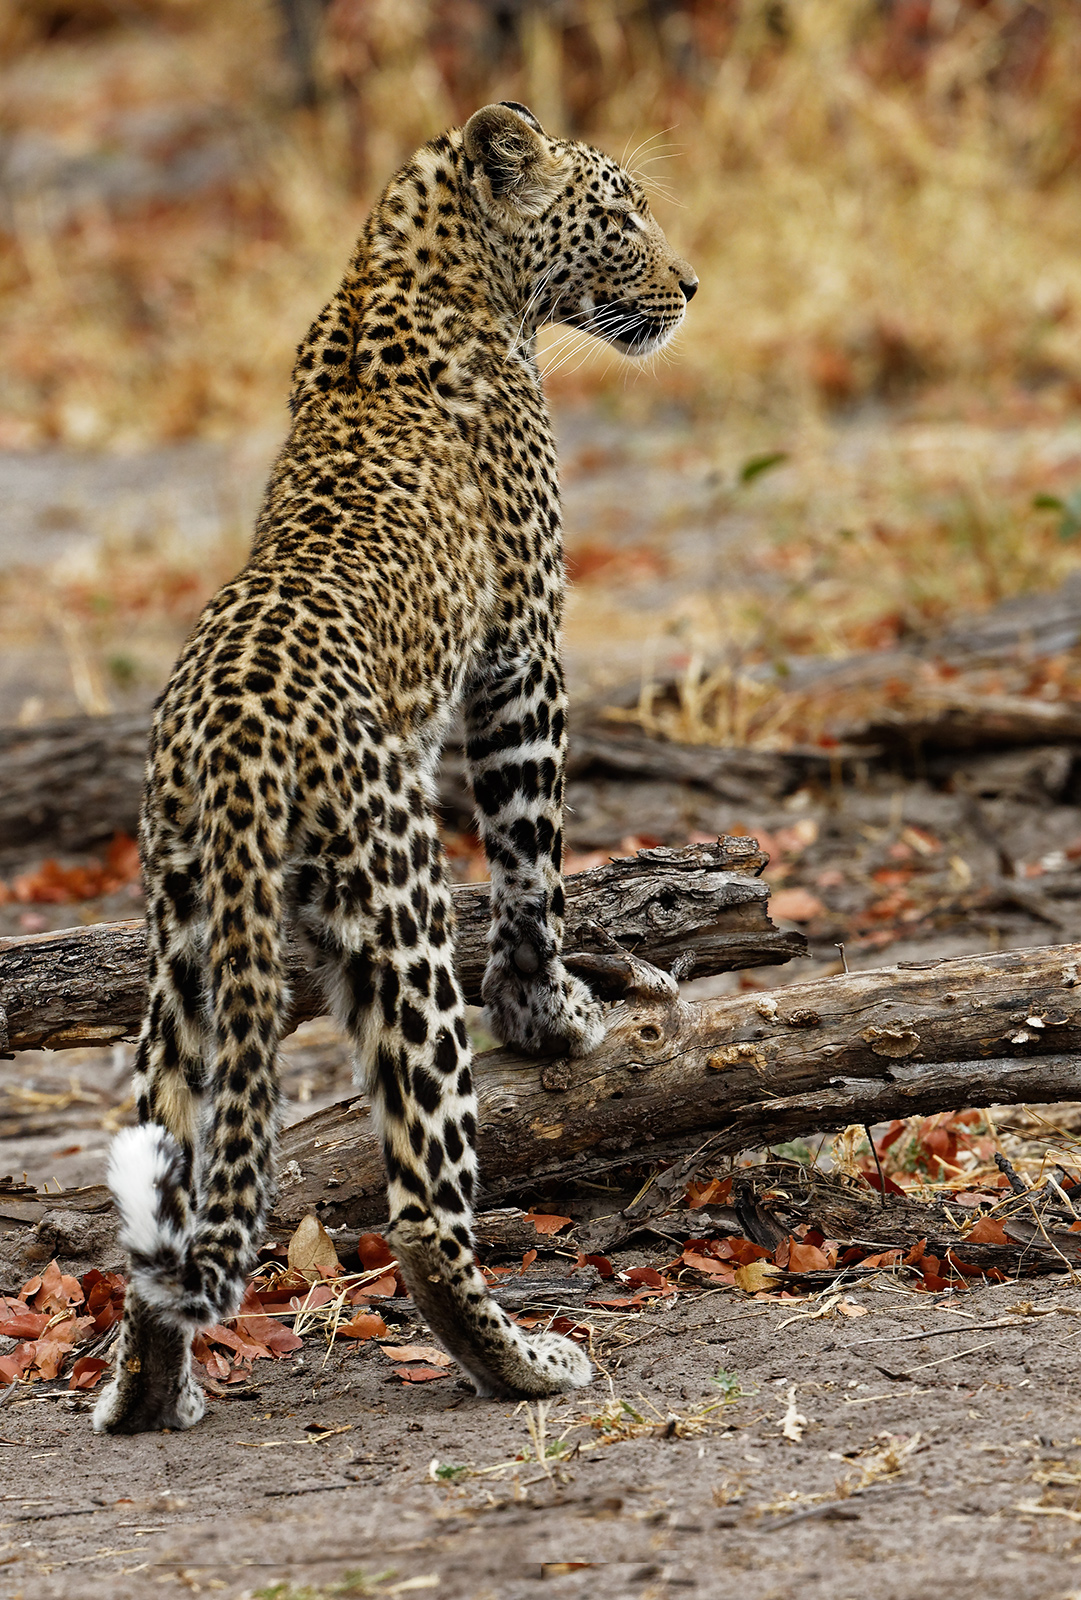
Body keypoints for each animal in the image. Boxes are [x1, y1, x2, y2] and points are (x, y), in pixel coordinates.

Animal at [93, 101, 697, 1434]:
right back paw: (528, 1363)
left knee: (163, 1172)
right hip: (399, 903)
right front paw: (552, 1014)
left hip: (183, 949)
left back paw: (148, 1392)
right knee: (423, 1209)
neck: (415, 264)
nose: (690, 283)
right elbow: (532, 858)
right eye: (619, 215)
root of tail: (231, 738)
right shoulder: (524, 646)